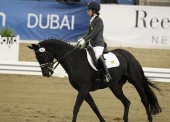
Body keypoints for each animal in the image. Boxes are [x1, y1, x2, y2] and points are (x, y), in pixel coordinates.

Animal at [28, 38, 161, 122]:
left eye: (41, 55)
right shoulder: (84, 90)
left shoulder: (83, 89)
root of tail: (130, 55)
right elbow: (94, 107)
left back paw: (149, 119)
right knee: (126, 102)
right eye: (36, 57)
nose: (46, 73)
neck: (74, 60)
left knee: (144, 99)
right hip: (115, 87)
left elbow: (76, 108)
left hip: (136, 81)